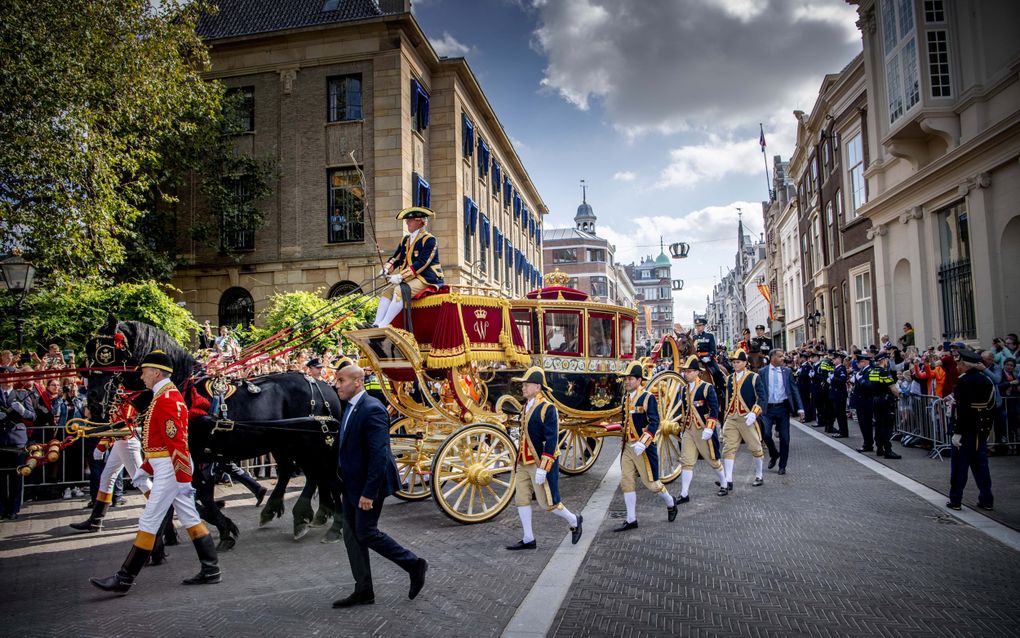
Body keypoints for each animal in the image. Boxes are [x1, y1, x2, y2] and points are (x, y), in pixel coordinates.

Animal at [85, 316, 340, 551]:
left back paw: (306, 514)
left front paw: (225, 529)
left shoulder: (193, 454)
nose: (93, 399)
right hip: (283, 442)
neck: (181, 389)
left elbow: (199, 494)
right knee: (299, 471)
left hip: (306, 441)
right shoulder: (193, 455)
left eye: (105, 352)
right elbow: (193, 495)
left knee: (316, 473)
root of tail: (323, 386)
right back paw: (283, 509)